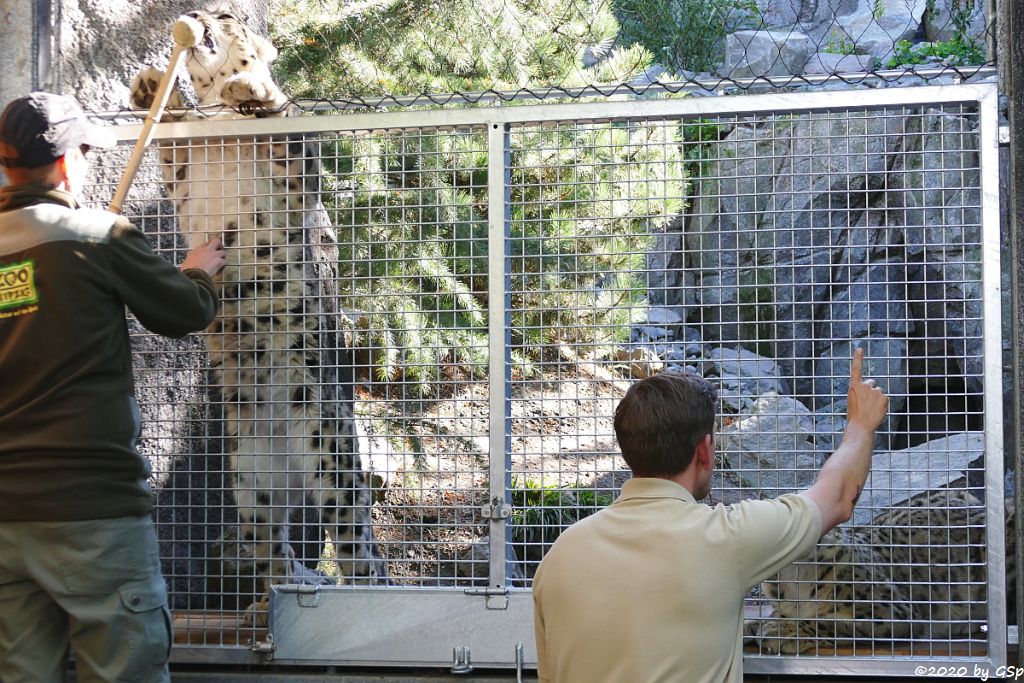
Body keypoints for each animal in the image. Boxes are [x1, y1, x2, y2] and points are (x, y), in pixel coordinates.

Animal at [128, 5, 385, 626]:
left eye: (226, 15)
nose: (195, 15)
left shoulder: (298, 184)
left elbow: (291, 133)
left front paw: (254, 89)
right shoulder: (182, 180)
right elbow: (170, 149)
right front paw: (152, 88)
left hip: (334, 456)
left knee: (357, 548)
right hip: (251, 484)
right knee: (275, 550)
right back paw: (268, 603)